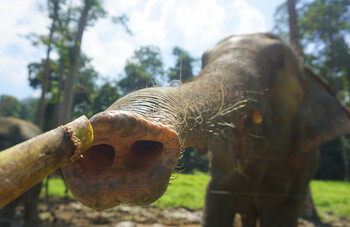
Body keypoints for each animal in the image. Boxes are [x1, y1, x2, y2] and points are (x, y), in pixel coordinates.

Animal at [60, 32, 350, 226]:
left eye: (280, 62)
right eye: (203, 60)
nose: (116, 128)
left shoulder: (295, 176)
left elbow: (279, 212)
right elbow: (216, 203)